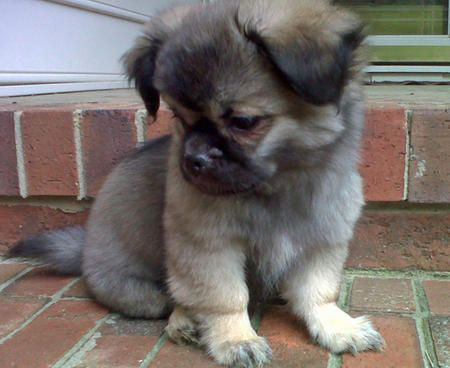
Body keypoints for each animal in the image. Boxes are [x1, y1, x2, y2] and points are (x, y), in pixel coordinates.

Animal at [7, 1, 384, 366]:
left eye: (243, 122)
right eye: (179, 117)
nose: (193, 160)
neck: (276, 187)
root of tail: (84, 250)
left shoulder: (322, 240)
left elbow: (318, 294)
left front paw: (338, 327)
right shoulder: (209, 246)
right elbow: (226, 298)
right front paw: (236, 339)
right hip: (142, 294)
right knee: (174, 299)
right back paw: (184, 320)